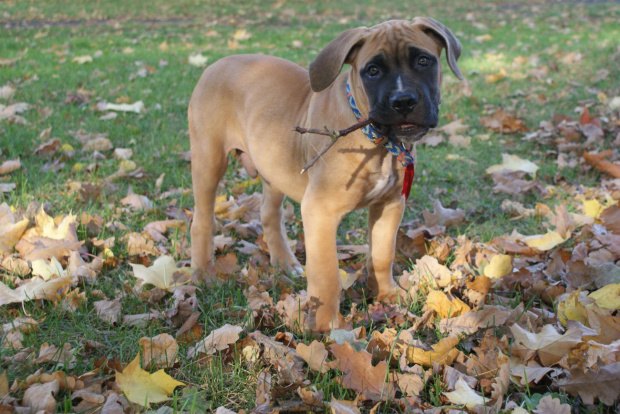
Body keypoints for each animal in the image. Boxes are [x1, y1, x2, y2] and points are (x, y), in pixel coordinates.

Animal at [189, 17, 460, 334]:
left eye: (423, 61)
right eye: (373, 71)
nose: (403, 101)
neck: (374, 138)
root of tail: (216, 63)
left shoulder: (390, 204)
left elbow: (382, 254)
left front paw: (388, 296)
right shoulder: (320, 211)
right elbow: (327, 274)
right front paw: (328, 327)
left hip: (273, 166)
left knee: (269, 214)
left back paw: (285, 263)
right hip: (209, 160)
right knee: (202, 220)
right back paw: (202, 274)